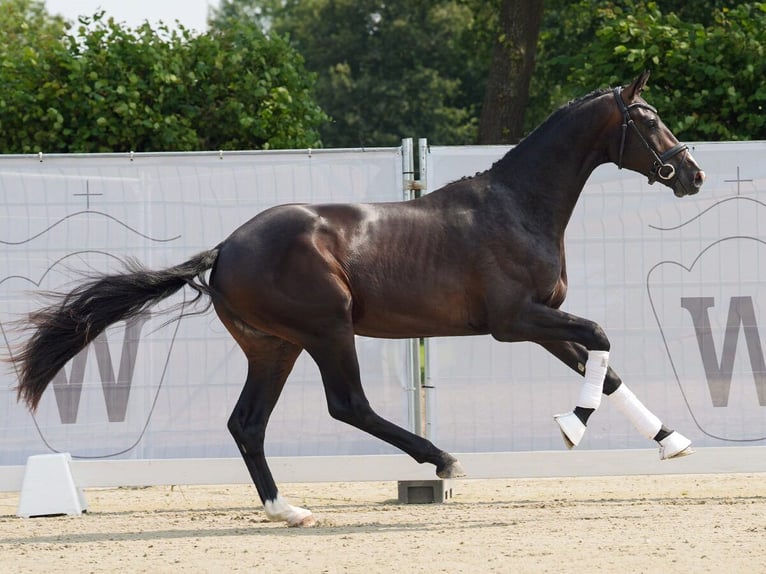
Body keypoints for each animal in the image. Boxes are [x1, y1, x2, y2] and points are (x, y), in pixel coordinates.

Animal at [10, 72, 708, 528]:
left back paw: (287, 509)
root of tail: (225, 248)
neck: (517, 206)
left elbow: (605, 366)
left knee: (248, 423)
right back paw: (442, 461)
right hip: (327, 330)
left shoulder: (541, 322)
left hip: (275, 347)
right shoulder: (515, 322)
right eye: (648, 121)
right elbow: (602, 340)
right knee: (348, 405)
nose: (693, 174)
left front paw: (671, 441)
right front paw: (570, 427)